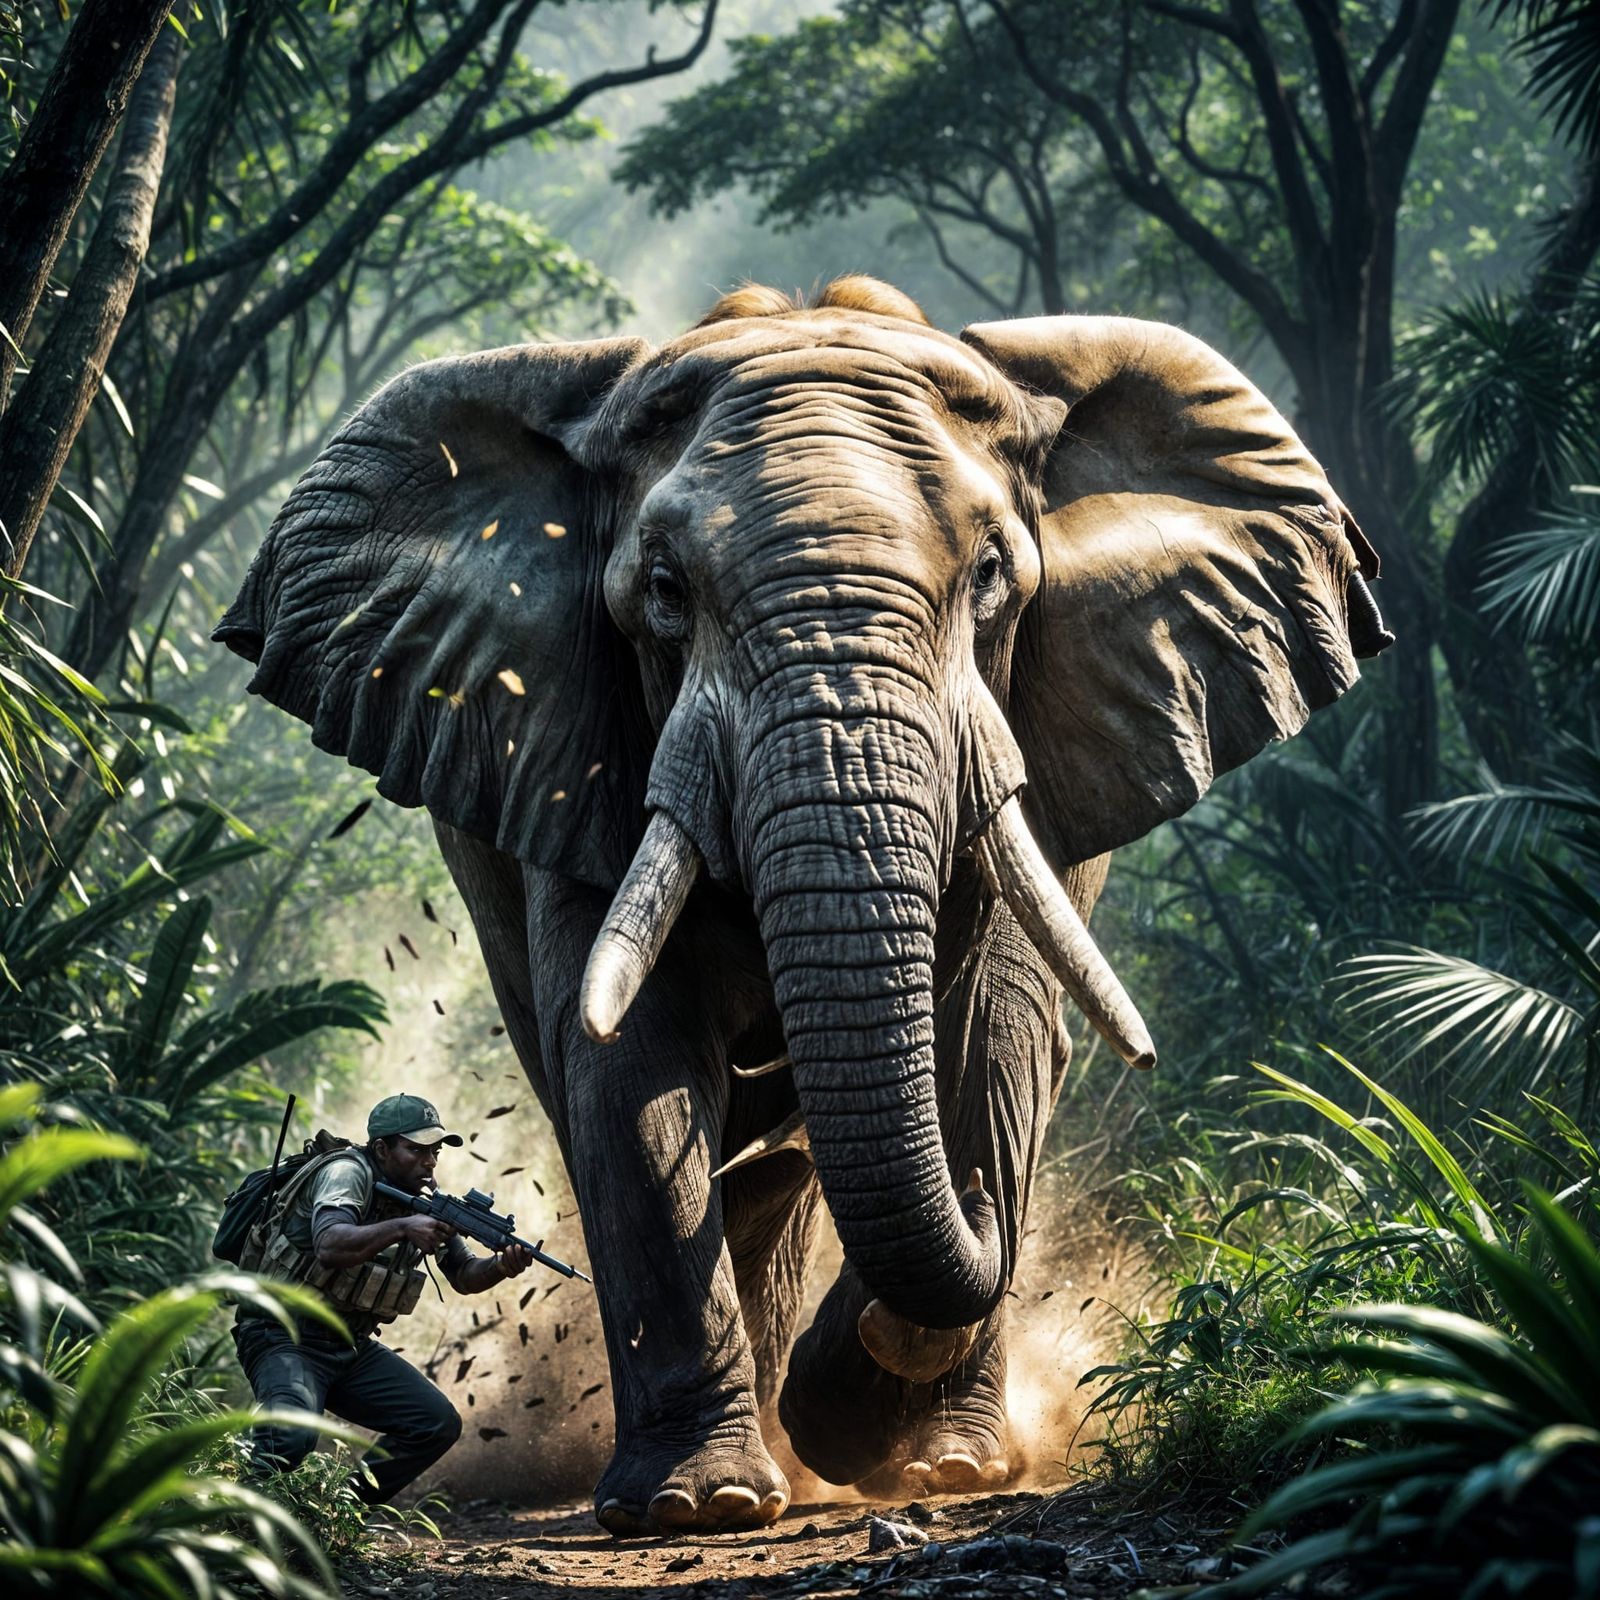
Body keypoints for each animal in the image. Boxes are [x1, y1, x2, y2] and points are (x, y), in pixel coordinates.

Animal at [216, 275, 1391, 1536]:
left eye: (992, 579)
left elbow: (997, 1029)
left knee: (790, 1161)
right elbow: (627, 1062)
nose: (985, 1197)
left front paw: (918, 1452)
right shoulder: (569, 750)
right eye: (664, 595)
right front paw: (698, 1504)